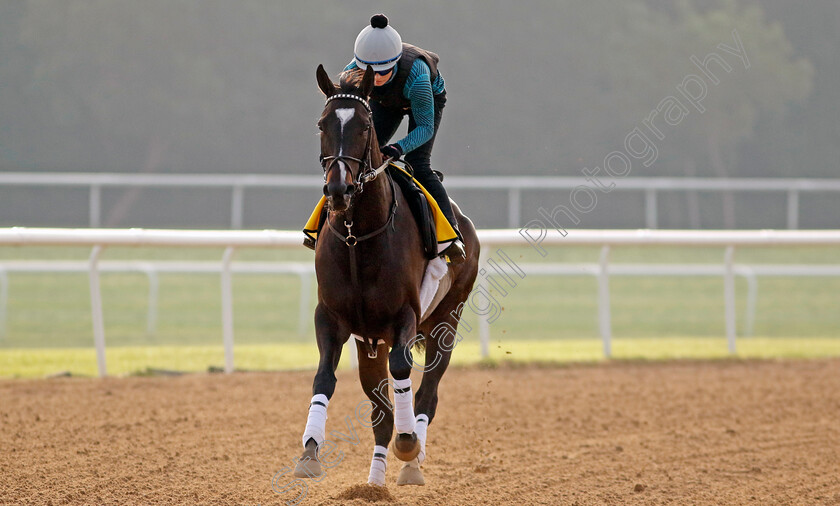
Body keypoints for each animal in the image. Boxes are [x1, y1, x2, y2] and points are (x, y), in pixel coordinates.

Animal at [294, 63, 480, 486]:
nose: (339, 189)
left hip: (447, 319)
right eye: (322, 124)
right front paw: (310, 450)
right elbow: (324, 378)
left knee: (427, 392)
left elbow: (402, 373)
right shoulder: (332, 317)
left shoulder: (405, 317)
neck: (357, 237)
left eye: (364, 127)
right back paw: (375, 480)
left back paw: (412, 461)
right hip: (370, 341)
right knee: (381, 410)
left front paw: (408, 444)